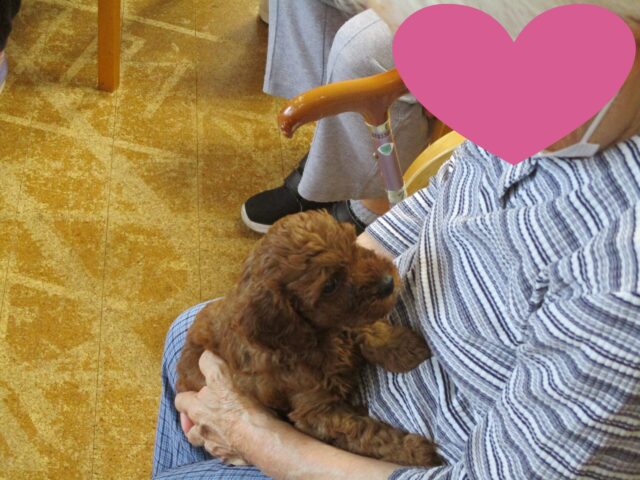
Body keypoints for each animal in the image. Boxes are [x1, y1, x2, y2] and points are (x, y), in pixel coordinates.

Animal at [177, 210, 440, 467]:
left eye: (353, 243)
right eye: (330, 285)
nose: (388, 283)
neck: (315, 338)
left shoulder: (342, 323)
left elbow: (367, 330)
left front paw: (406, 348)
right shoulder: (315, 411)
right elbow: (366, 433)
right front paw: (413, 451)